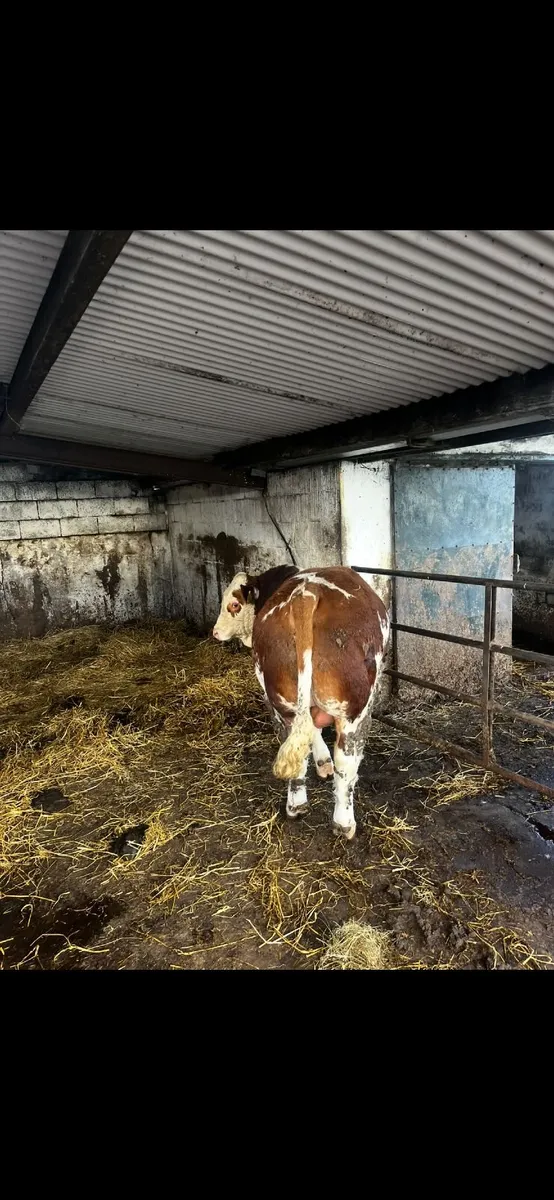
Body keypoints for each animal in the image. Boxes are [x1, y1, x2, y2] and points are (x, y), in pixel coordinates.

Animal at [213, 565, 390, 840]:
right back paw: (344, 823)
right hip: (354, 710)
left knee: (293, 745)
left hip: (281, 704)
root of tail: (306, 594)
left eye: (234, 604)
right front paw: (324, 763)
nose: (215, 632)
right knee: (346, 762)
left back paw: (296, 805)